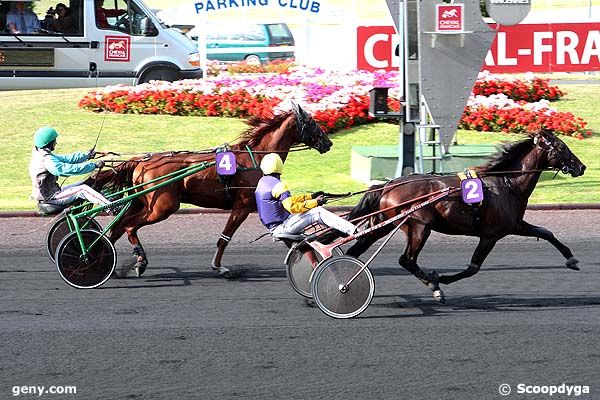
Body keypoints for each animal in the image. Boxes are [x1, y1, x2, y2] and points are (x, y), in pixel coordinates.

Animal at [89, 104, 332, 276]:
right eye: (312, 122)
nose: (328, 143)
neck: (257, 158)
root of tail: (141, 161)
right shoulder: (242, 206)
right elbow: (225, 237)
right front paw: (219, 267)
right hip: (162, 207)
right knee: (129, 226)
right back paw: (139, 262)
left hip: (144, 203)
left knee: (118, 227)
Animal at [342, 130, 584, 302]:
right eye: (562, 146)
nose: (582, 166)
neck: (506, 183)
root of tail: (389, 185)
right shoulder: (491, 235)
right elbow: (472, 268)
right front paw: (440, 278)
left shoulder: (514, 225)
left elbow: (546, 232)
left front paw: (571, 258)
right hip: (420, 225)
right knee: (407, 259)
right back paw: (434, 287)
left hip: (384, 223)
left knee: (356, 250)